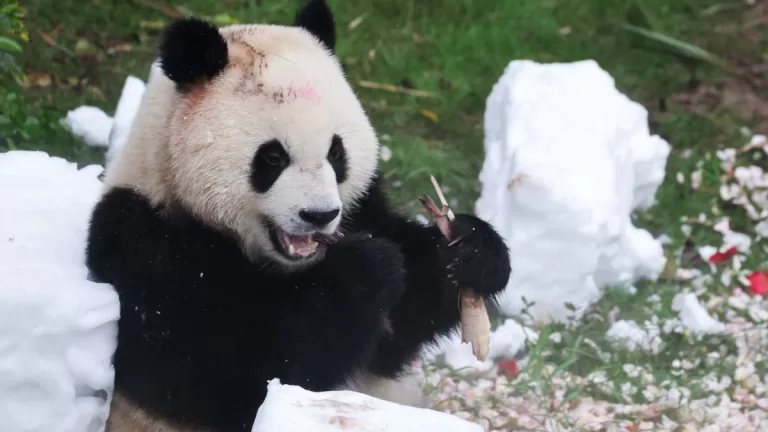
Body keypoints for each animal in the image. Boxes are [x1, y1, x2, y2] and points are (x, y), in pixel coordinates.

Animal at [85, 0, 511, 431]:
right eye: (273, 158)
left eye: (336, 152)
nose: (319, 215)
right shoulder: (142, 239)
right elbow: (228, 372)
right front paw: (365, 270)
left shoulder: (361, 207)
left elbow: (397, 332)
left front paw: (469, 250)